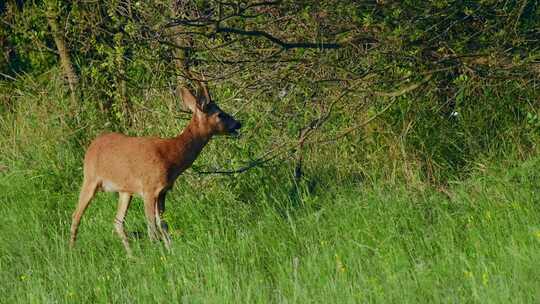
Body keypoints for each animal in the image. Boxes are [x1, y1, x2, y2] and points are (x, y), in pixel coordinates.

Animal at [69, 82, 240, 255]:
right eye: (220, 114)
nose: (239, 123)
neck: (172, 156)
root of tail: (92, 144)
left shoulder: (163, 191)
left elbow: (163, 224)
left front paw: (170, 250)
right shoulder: (149, 189)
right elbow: (152, 227)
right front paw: (158, 253)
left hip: (125, 190)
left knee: (117, 221)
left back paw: (131, 255)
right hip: (90, 178)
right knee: (76, 215)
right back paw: (72, 251)